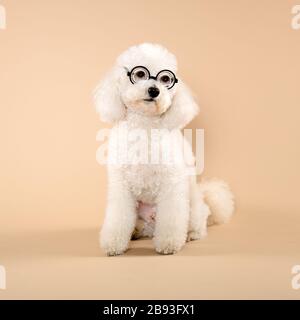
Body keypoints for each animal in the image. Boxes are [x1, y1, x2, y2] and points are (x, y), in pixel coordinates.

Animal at [95, 43, 233, 256]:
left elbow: (171, 219)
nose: (154, 90)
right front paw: (114, 244)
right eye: (140, 73)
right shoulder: (122, 185)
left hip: (192, 205)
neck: (145, 126)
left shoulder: (171, 183)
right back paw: (135, 233)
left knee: (200, 218)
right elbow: (118, 217)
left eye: (165, 79)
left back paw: (192, 233)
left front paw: (169, 244)